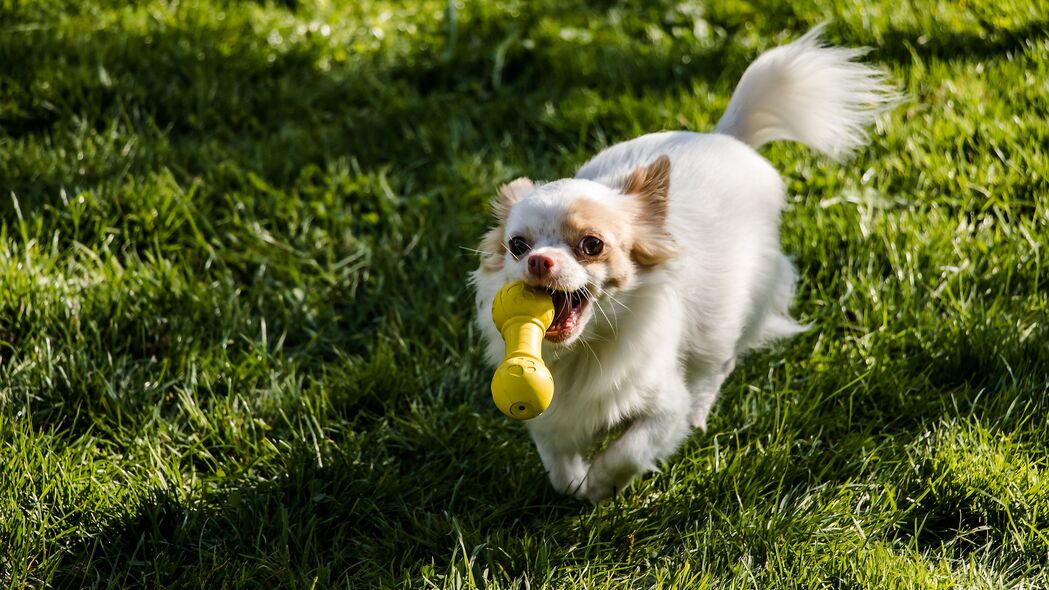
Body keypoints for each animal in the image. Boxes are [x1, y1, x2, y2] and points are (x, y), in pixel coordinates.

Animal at [472, 25, 897, 497]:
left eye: (591, 245)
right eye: (517, 246)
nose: (539, 261)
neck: (585, 350)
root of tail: (726, 137)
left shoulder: (662, 409)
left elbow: (628, 451)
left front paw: (601, 487)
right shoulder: (552, 418)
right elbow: (561, 471)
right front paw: (579, 486)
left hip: (731, 318)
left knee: (717, 366)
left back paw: (699, 413)